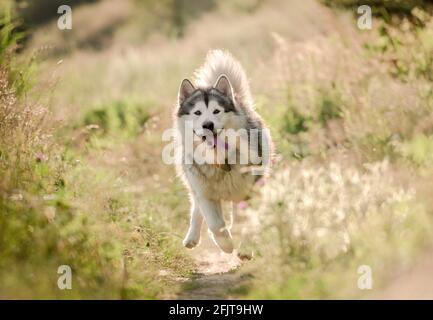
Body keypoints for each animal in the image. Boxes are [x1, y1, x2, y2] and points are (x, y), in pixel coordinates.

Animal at [172, 50, 270, 254]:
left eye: (216, 111)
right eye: (197, 113)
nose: (208, 125)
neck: (219, 159)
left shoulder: (248, 189)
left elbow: (245, 220)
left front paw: (245, 248)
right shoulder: (206, 195)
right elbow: (216, 225)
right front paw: (226, 245)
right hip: (195, 183)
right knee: (196, 208)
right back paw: (192, 237)